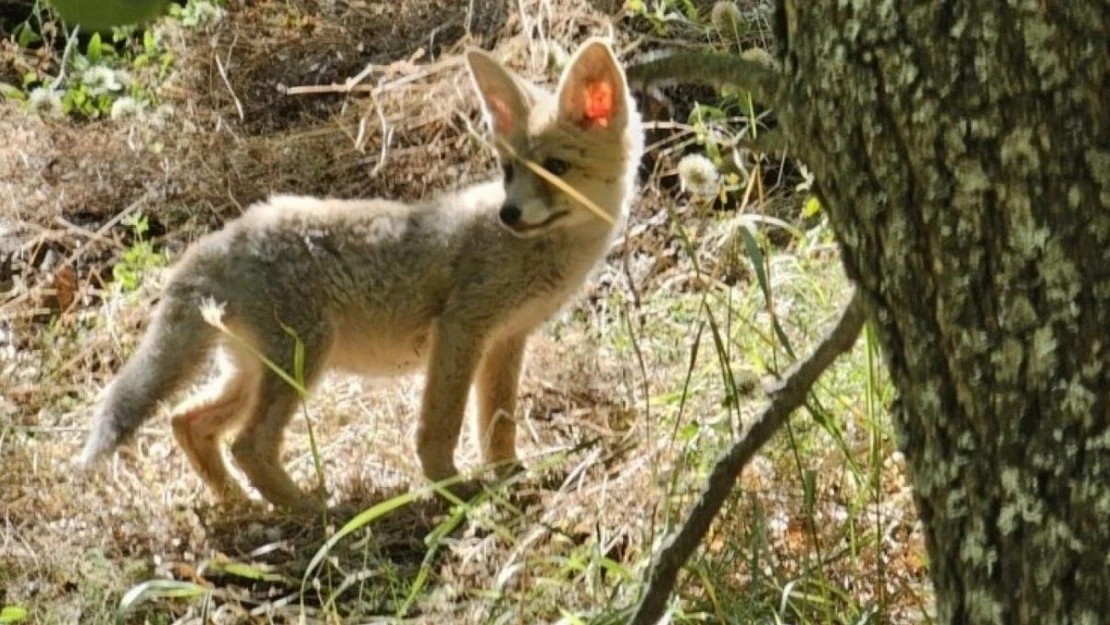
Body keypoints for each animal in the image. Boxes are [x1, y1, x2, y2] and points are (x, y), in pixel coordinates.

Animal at [76, 38, 643, 512]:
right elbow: (440, 425)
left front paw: (509, 477)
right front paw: (451, 488)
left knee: (188, 421)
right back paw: (311, 511)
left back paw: (238, 504)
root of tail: (218, 239)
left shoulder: (508, 339)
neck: (544, 256)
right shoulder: (463, 327)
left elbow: (497, 426)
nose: (509, 214)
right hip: (303, 362)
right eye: (509, 171)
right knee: (248, 444)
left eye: (556, 168)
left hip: (253, 372)